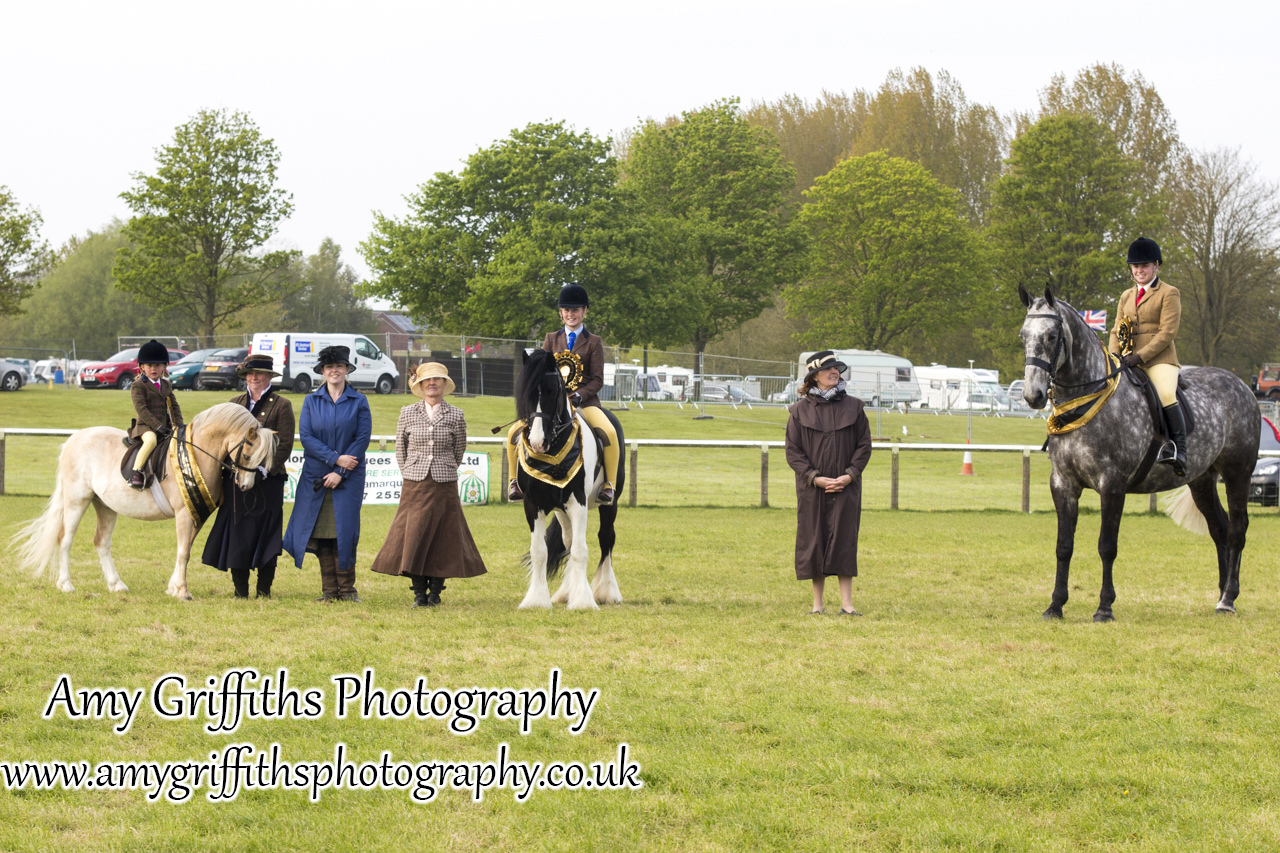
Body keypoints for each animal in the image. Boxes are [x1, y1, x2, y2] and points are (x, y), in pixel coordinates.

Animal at [15, 404, 277, 596]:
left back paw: (116, 585)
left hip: (106, 506)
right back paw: (66, 585)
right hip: (77, 501)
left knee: (101, 543)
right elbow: (184, 552)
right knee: (65, 540)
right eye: (247, 455)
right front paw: (182, 591)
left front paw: (173, 587)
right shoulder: (184, 513)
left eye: (264, 458)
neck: (197, 453)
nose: (245, 485)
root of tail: (74, 438)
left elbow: (185, 549)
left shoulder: (197, 513)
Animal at [514, 348, 624, 607]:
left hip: (609, 503)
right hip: (560, 510)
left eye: (553, 390)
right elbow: (540, 551)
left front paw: (583, 601)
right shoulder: (533, 503)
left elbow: (581, 551)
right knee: (568, 540)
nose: (537, 442)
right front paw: (536, 600)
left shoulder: (578, 501)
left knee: (606, 539)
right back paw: (566, 591)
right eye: (525, 392)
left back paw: (606, 591)